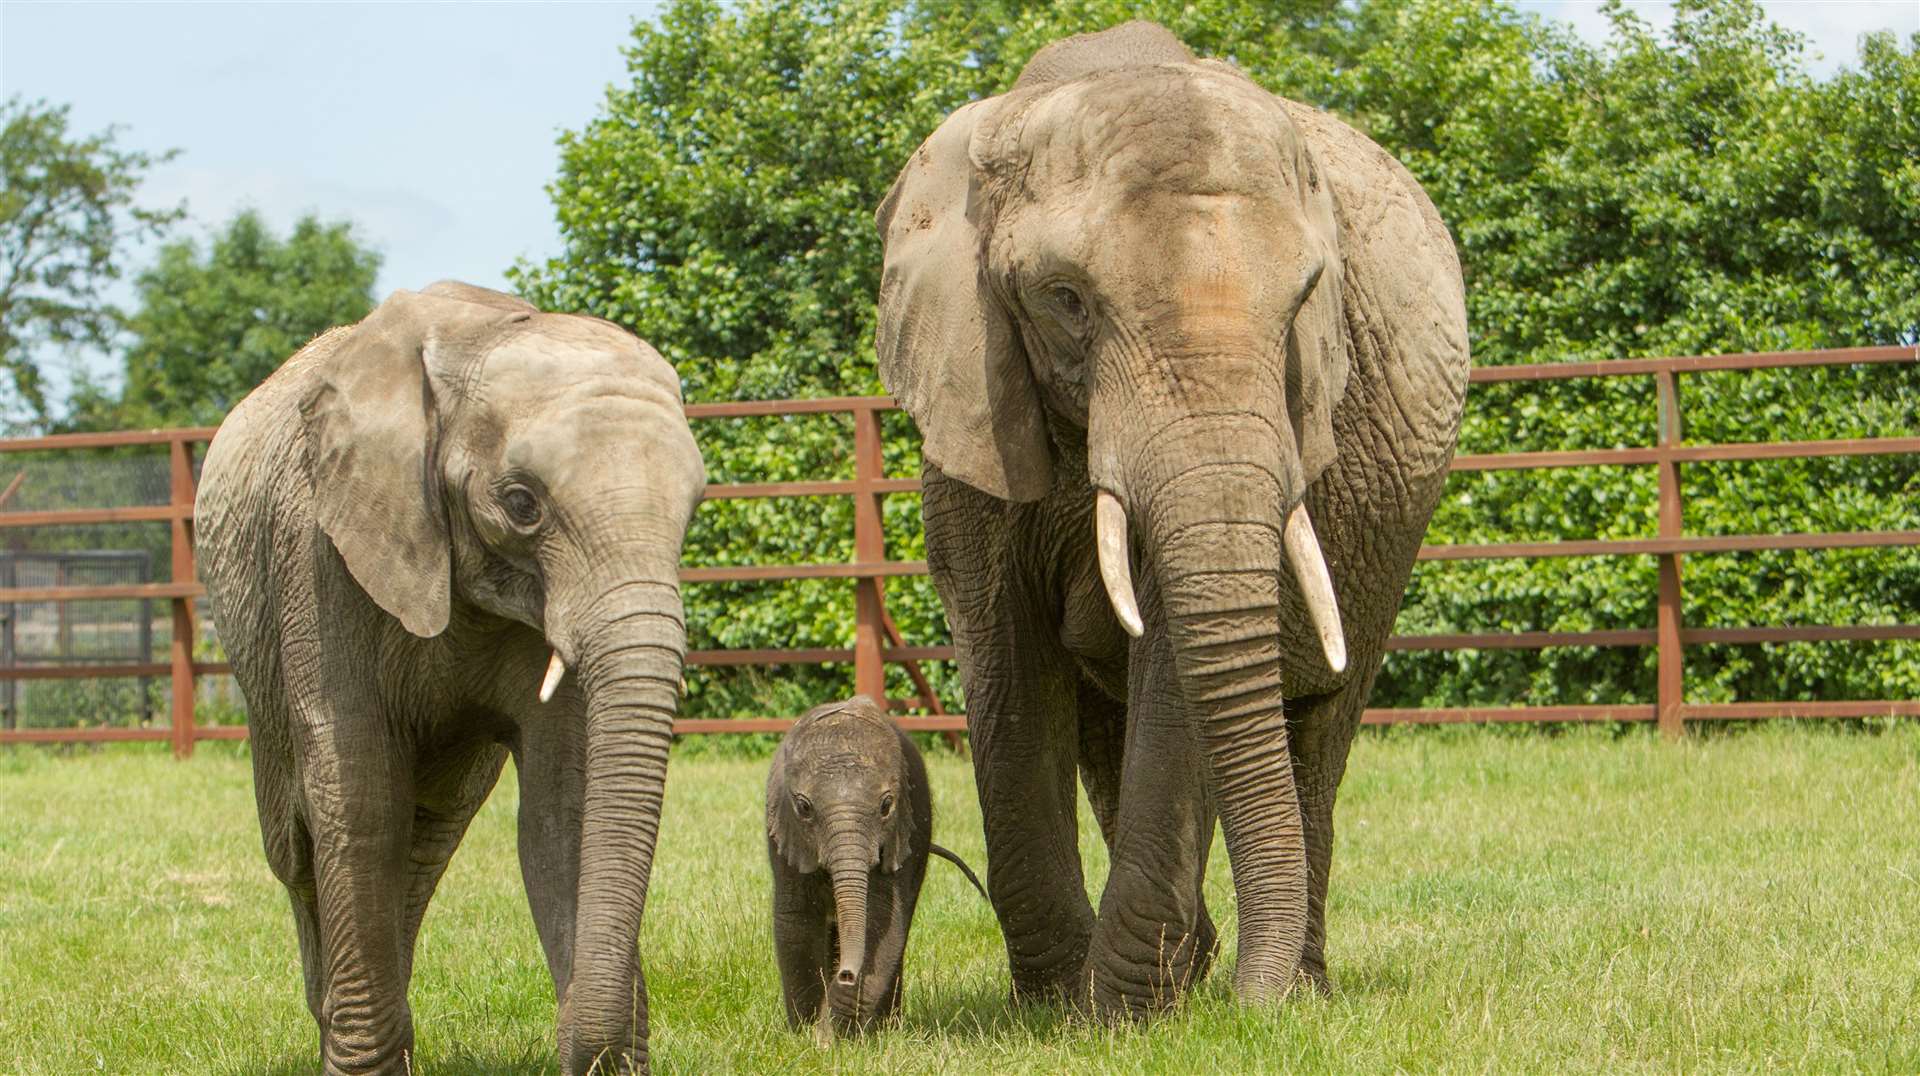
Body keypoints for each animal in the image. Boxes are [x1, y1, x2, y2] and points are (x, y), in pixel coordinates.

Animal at [194, 282, 710, 1068]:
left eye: (694, 509)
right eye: (522, 503)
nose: (585, 1047)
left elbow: (564, 808)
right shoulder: (316, 551)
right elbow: (357, 795)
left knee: (430, 832)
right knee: (300, 843)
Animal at [760, 699, 983, 1037]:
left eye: (886, 806)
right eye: (803, 807)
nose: (846, 973)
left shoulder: (901, 832)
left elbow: (881, 918)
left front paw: (835, 1034)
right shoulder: (786, 834)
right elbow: (796, 920)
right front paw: (808, 1034)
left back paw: (886, 1028)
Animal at [875, 23, 1466, 1014]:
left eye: (1307, 301)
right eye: (1065, 299)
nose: (1251, 1006)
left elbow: (1178, 675)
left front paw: (1115, 1010)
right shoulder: (974, 394)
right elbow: (1006, 666)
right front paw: (1060, 1003)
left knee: (1316, 733)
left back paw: (1288, 984)